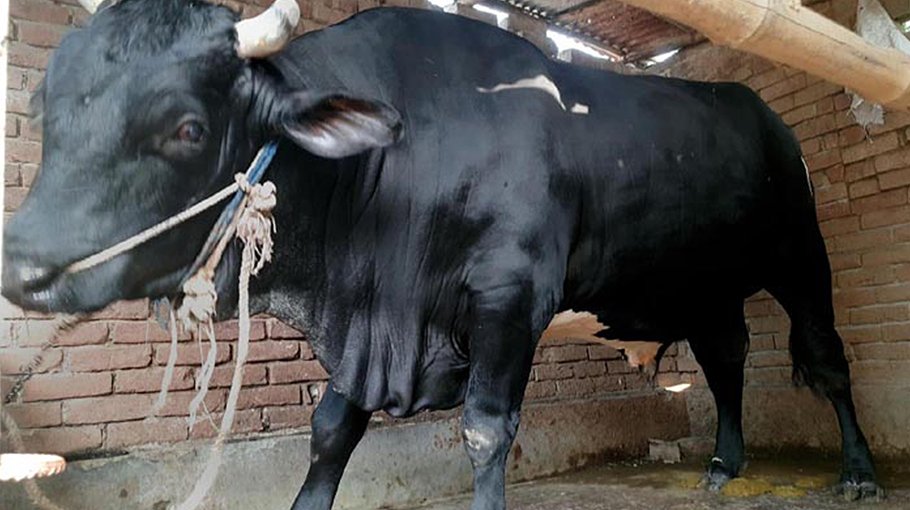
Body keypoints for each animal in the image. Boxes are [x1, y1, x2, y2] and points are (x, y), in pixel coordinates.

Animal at [1, 0, 883, 508]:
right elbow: (330, 431)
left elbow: (487, 433)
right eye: (45, 110)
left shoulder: (509, 298)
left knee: (827, 358)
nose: (24, 265)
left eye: (186, 126)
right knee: (726, 358)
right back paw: (724, 465)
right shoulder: (368, 329)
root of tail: (754, 106)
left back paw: (859, 472)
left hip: (801, 254)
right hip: (701, 283)